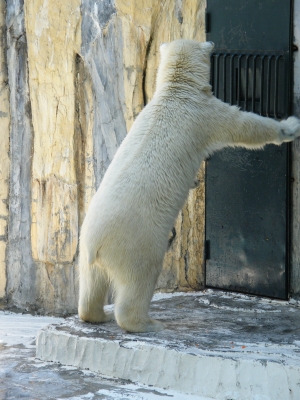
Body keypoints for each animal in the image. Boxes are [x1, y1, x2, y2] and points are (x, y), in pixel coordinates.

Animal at [78, 39, 300, 332]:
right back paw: (147, 322)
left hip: (85, 251)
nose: (212, 42)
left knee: (92, 283)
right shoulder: (203, 115)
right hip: (136, 241)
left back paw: (96, 315)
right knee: (140, 278)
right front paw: (290, 126)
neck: (174, 91)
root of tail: (96, 244)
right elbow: (244, 125)